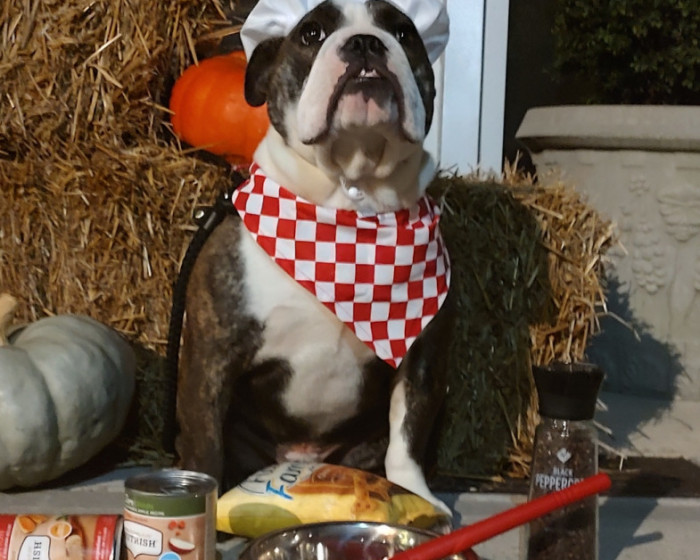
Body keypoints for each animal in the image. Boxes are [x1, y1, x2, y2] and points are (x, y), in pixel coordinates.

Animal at [175, 0, 454, 507]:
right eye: (311, 34)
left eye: (404, 33)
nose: (365, 43)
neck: (348, 201)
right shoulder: (210, 356)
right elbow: (204, 441)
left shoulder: (420, 354)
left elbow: (407, 435)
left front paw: (412, 492)